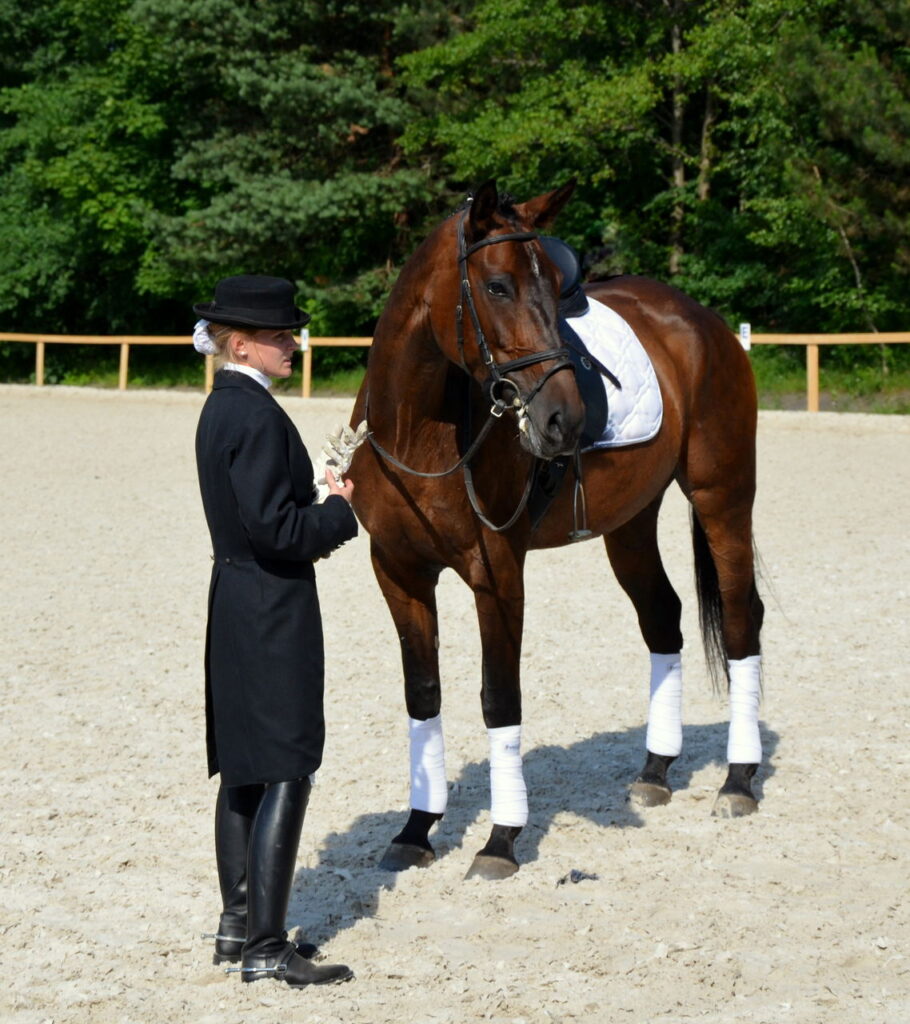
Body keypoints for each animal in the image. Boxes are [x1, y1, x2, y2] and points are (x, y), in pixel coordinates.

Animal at [343, 178, 761, 880]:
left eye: (549, 288)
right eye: (497, 287)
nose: (565, 419)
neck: (418, 433)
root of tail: (704, 323)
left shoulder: (496, 575)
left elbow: (499, 696)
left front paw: (500, 840)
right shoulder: (398, 571)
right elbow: (423, 693)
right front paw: (416, 830)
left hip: (722, 498)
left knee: (739, 620)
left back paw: (738, 780)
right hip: (631, 524)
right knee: (663, 617)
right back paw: (656, 770)